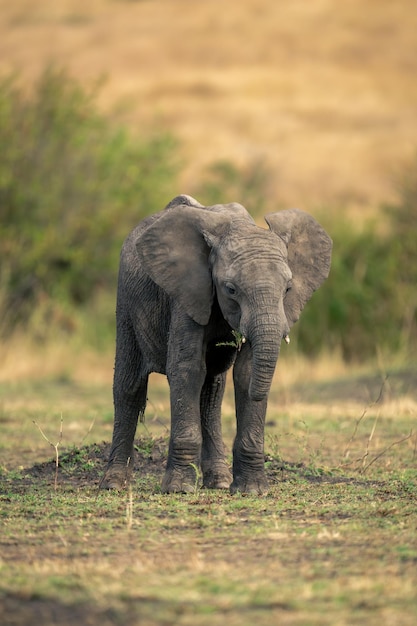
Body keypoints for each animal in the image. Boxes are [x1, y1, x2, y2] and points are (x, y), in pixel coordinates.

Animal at [101, 194, 332, 492]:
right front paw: (178, 489)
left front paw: (252, 490)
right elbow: (186, 369)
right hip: (126, 301)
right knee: (129, 387)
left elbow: (245, 372)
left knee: (211, 392)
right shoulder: (186, 294)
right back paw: (114, 484)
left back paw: (219, 482)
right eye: (230, 289)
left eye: (288, 289)